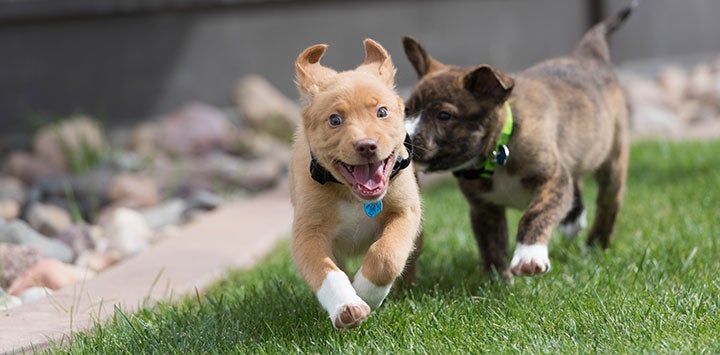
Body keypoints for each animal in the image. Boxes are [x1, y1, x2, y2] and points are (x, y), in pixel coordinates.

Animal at [288, 37, 422, 330]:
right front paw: (347, 305)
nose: (367, 145)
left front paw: (366, 292)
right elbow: (326, 271)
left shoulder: (405, 212)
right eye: (335, 119)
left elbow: (387, 256)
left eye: (382, 112)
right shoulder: (307, 232)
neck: (354, 197)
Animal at [404, 4, 636, 280]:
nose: (404, 140)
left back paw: (596, 244)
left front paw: (529, 256)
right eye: (407, 110)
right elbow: (491, 243)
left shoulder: (552, 179)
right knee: (577, 181)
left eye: (444, 116)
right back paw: (573, 221)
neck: (497, 153)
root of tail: (589, 56)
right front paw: (497, 279)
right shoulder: (484, 207)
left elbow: (534, 215)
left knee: (608, 204)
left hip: (612, 160)